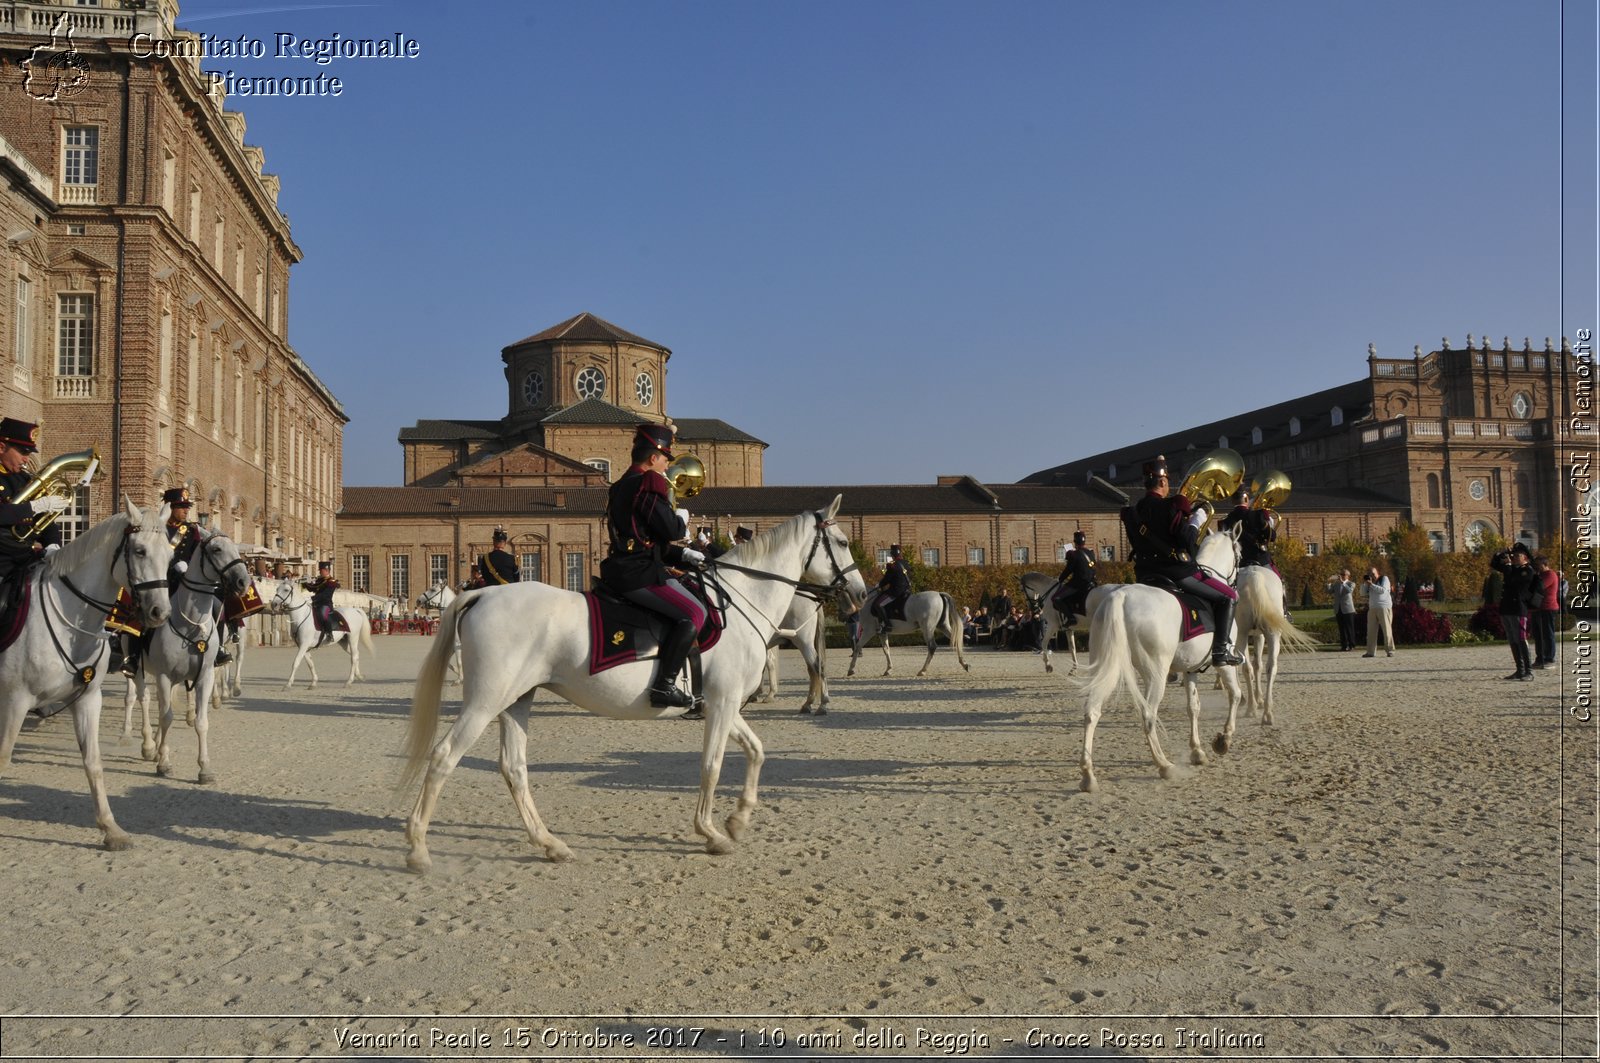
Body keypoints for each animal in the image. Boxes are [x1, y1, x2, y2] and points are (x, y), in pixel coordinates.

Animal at [0, 499, 172, 845]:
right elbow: (3, 759)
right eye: (140, 551)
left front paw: (110, 828)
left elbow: (93, 762)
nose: (161, 612)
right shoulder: (14, 702)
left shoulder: (87, 699)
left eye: (171, 554)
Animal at [124, 531, 251, 781]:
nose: (243, 581)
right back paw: (148, 746)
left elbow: (201, 722)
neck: (191, 623)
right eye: (216, 549)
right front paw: (164, 762)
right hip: (138, 669)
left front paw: (204, 768)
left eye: (235, 547)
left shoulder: (204, 675)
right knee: (143, 699)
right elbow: (166, 717)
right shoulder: (164, 675)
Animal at [406, 499, 870, 870]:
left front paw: (738, 820)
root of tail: (484, 595)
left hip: (517, 699)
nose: (861, 593)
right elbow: (712, 765)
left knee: (513, 767)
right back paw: (418, 850)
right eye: (842, 542)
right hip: (487, 701)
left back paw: (550, 843)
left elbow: (756, 752)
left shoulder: (720, 702)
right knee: (444, 756)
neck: (740, 600)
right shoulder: (722, 704)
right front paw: (711, 832)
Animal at [1075, 528, 1248, 794]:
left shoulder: (1190, 669)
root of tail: (1121, 596)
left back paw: (1088, 776)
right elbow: (1235, 695)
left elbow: (1193, 707)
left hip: (1105, 666)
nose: (1236, 581)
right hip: (1155, 673)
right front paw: (1223, 740)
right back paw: (1165, 765)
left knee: (1091, 711)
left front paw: (1197, 751)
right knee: (1148, 714)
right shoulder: (1225, 664)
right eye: (1239, 554)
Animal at [1228, 563, 1318, 730]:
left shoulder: (1257, 635)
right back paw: (1266, 713)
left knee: (1250, 668)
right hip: (1269, 633)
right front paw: (1259, 699)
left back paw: (1253, 708)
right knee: (1270, 667)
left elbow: (1256, 665)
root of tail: (1254, 575)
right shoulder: (1259, 635)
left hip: (1244, 633)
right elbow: (1257, 666)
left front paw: (1257, 699)